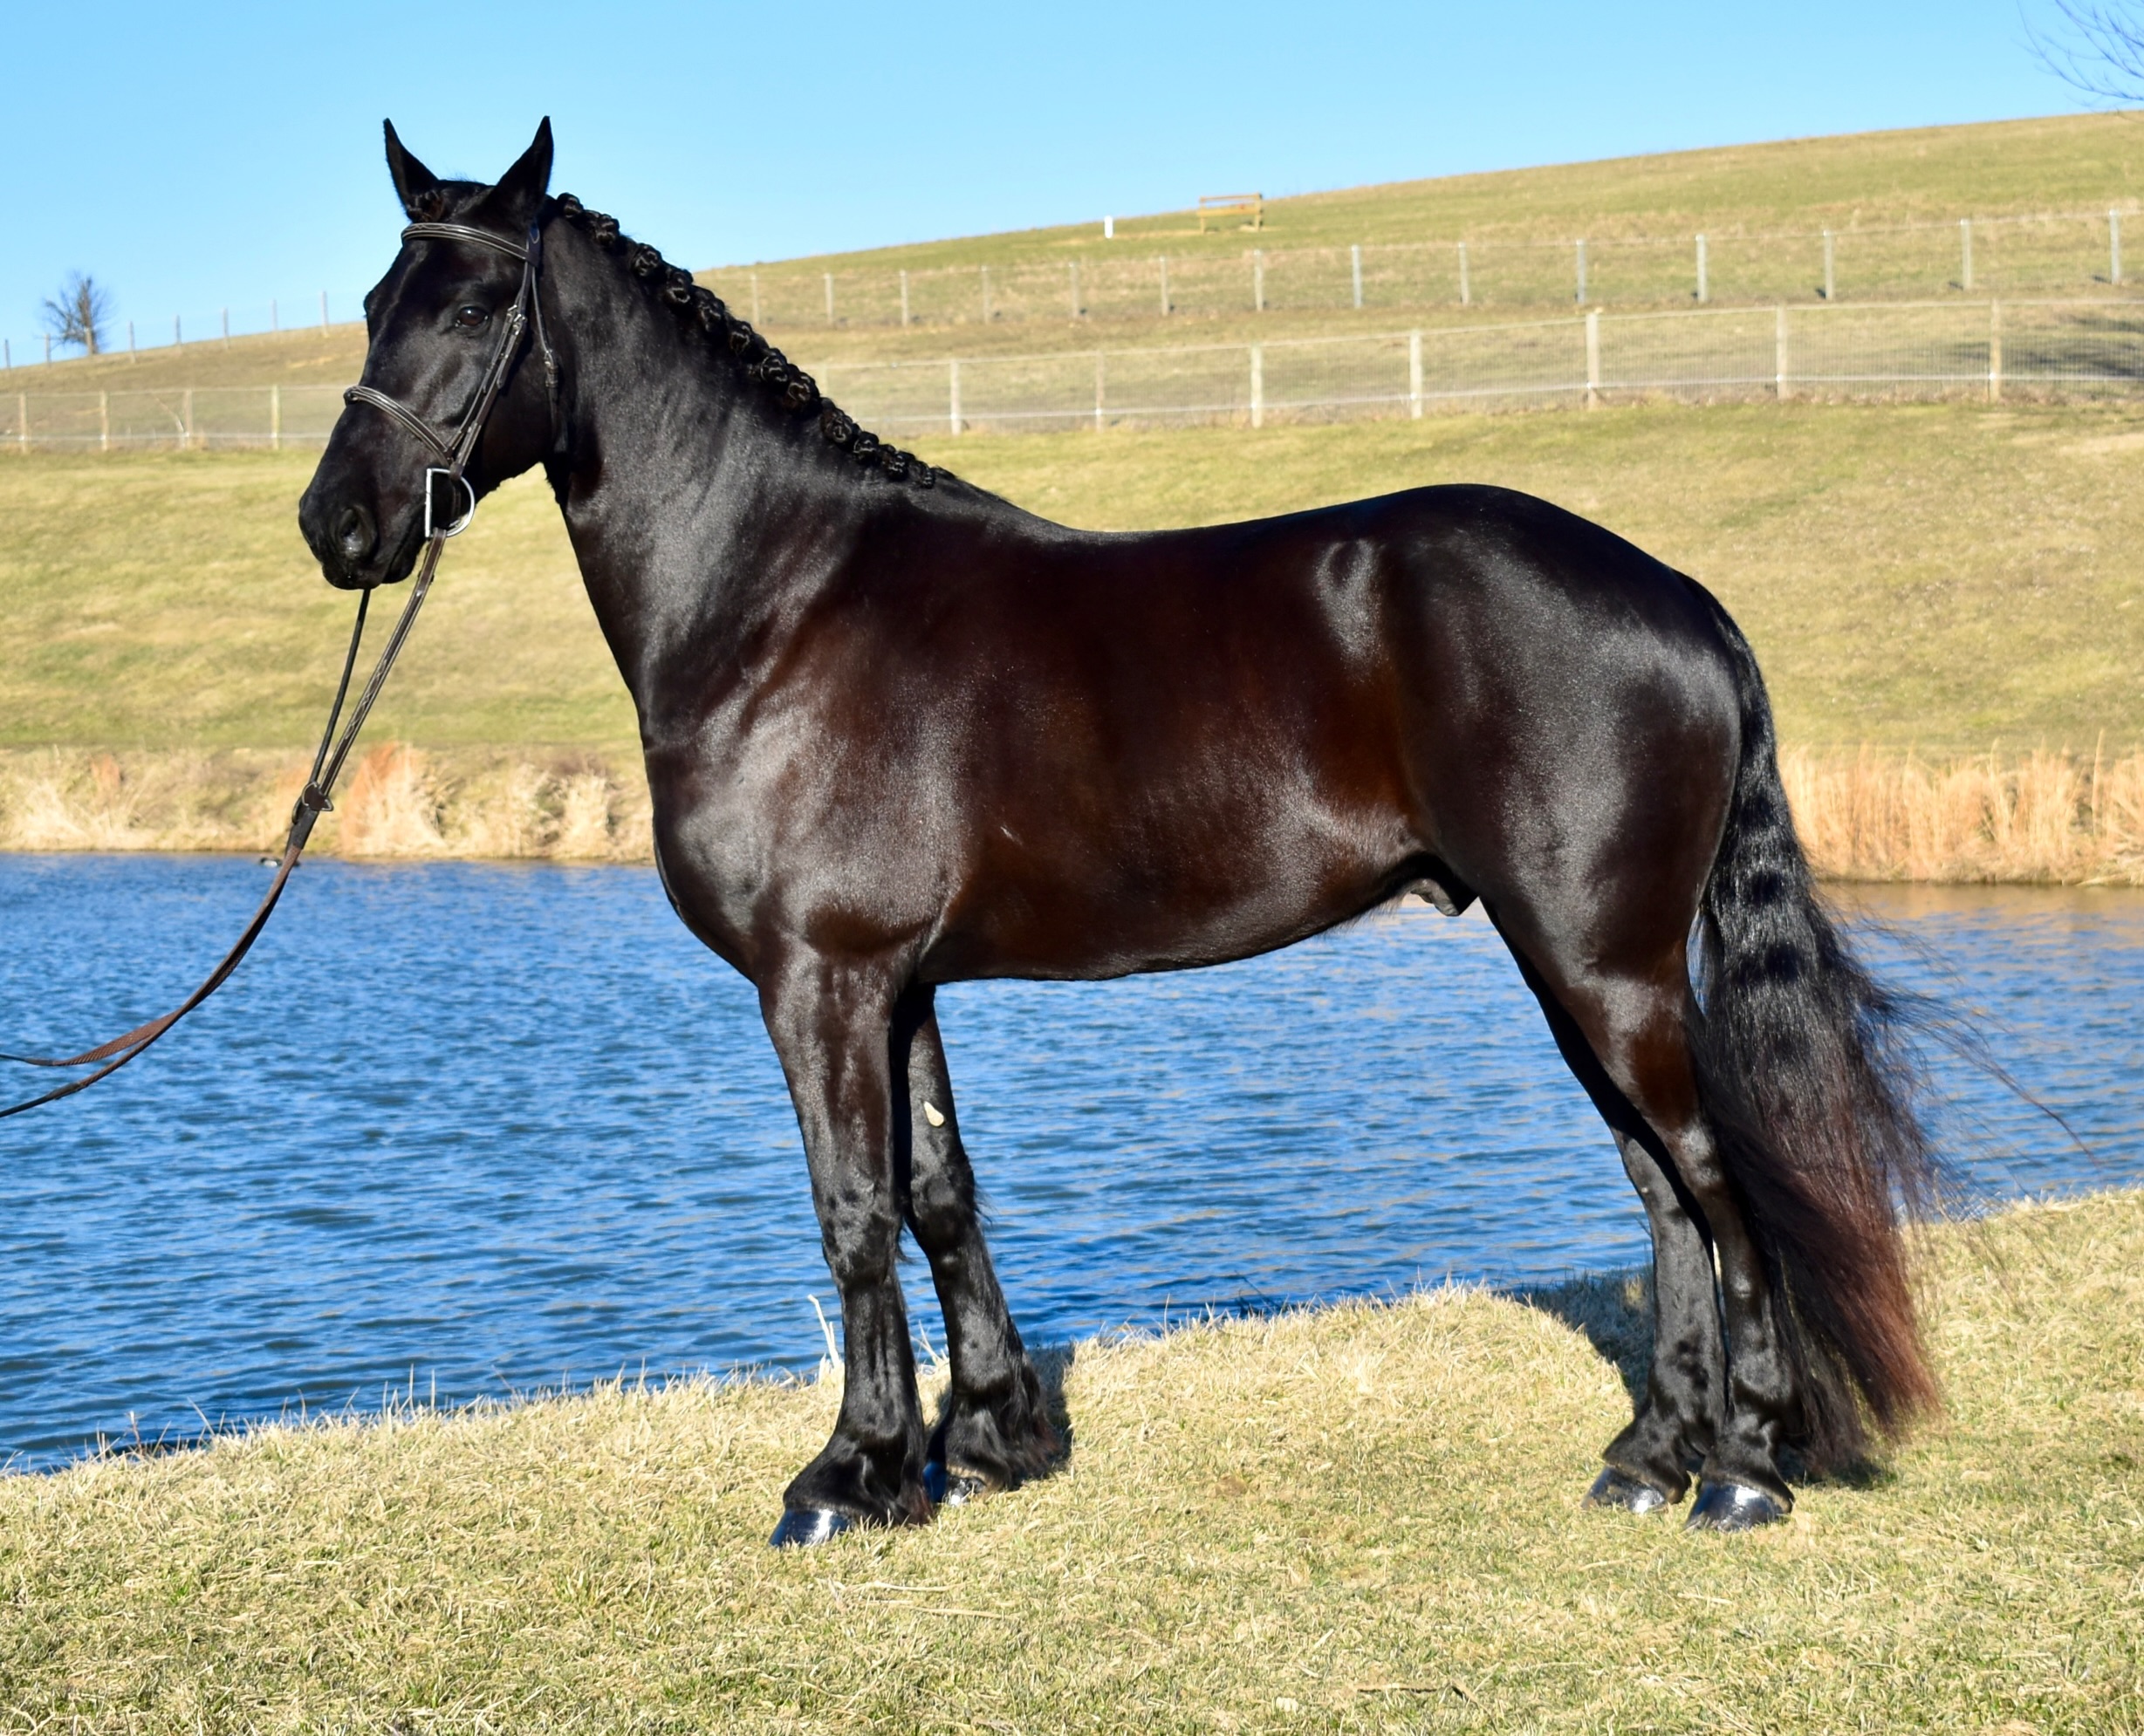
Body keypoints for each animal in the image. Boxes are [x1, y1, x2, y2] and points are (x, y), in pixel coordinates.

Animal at [298, 120, 1940, 1548]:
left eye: (477, 304)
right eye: (375, 302)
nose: (339, 527)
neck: (784, 599)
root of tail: (1679, 598)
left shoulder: (818, 978)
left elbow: (851, 1210)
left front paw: (847, 1475)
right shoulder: (898, 982)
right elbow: (939, 1192)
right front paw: (985, 1440)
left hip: (1606, 968)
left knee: (1715, 1182)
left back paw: (1744, 1467)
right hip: (1575, 971)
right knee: (1662, 1191)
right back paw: (1651, 1457)